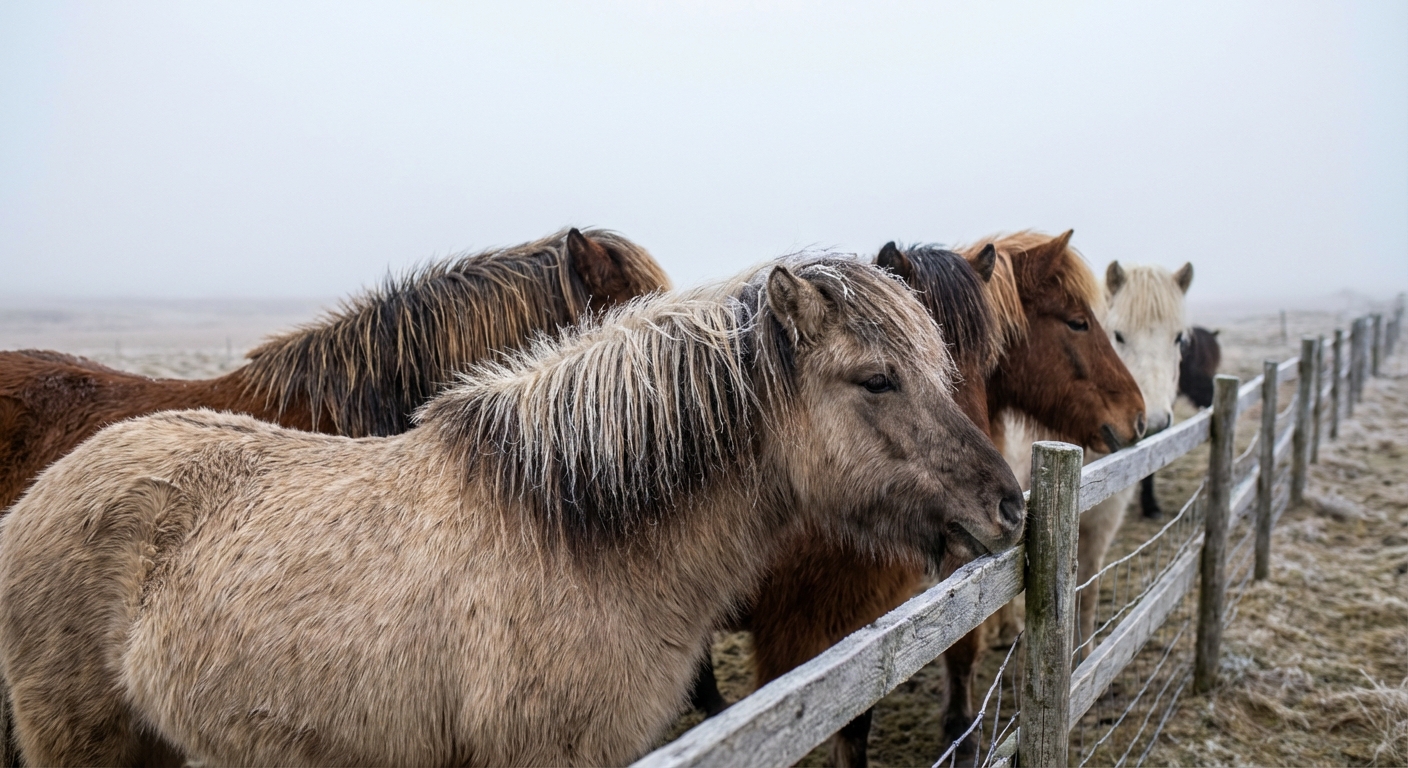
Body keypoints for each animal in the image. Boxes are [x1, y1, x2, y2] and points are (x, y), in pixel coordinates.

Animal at [1004, 260, 1192, 659]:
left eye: (1178, 339)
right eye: (1118, 335)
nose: (1153, 423)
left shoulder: (1103, 522)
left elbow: (1086, 592)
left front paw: (1084, 655)